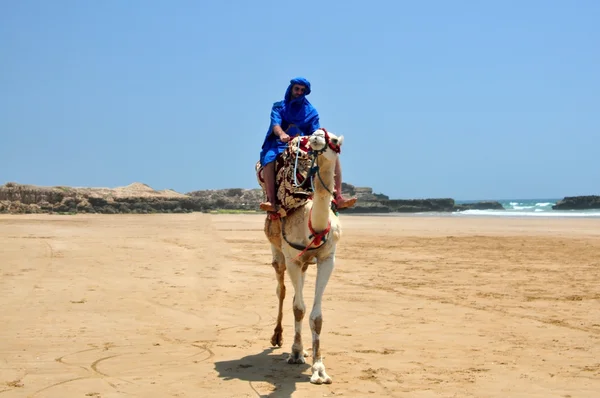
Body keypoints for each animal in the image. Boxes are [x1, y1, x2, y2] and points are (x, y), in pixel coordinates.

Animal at [264, 129, 344, 384]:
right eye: (315, 134)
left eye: (335, 140)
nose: (316, 136)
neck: (314, 227)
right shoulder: (293, 259)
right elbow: (298, 308)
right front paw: (296, 353)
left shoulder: (328, 259)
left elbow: (316, 316)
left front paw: (319, 369)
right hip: (278, 253)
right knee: (281, 290)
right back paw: (277, 338)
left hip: (306, 264)